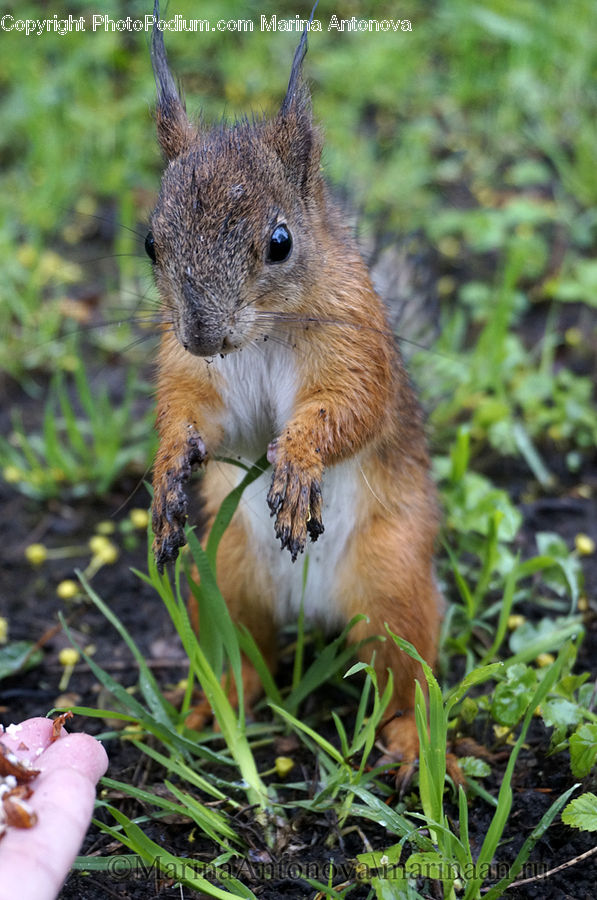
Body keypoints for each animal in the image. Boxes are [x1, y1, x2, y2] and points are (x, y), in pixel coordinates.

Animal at [147, 2, 445, 785]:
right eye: (152, 243)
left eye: (279, 241)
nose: (202, 334)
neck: (261, 336)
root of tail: (310, 607)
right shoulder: (194, 375)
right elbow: (199, 418)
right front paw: (168, 470)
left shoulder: (355, 346)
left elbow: (350, 409)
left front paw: (301, 461)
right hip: (227, 578)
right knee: (246, 657)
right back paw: (211, 709)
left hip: (393, 581)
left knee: (401, 679)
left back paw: (411, 745)